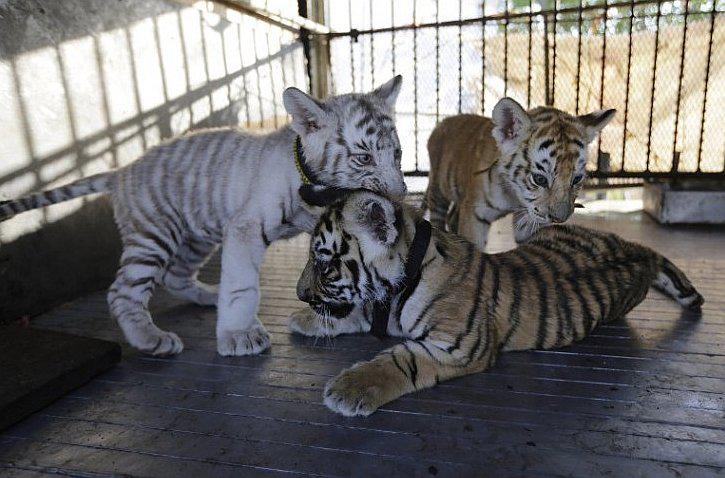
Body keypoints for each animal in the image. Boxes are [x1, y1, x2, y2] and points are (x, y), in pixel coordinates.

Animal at [0, 76, 406, 357]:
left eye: (398, 154)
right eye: (364, 158)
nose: (401, 194)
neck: (314, 186)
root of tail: (122, 170)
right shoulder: (246, 227)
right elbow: (242, 285)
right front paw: (239, 336)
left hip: (196, 236)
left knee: (175, 276)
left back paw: (209, 296)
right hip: (153, 235)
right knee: (122, 292)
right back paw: (151, 340)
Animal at [292, 187, 703, 416]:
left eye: (324, 264)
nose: (299, 294)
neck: (402, 284)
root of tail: (638, 251)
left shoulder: (458, 347)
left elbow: (398, 360)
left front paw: (350, 389)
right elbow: (358, 310)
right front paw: (305, 319)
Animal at [425, 97, 616, 249]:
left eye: (576, 179)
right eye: (539, 179)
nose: (559, 219)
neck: (514, 196)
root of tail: (443, 121)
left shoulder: (529, 217)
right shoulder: (475, 214)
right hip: (438, 189)